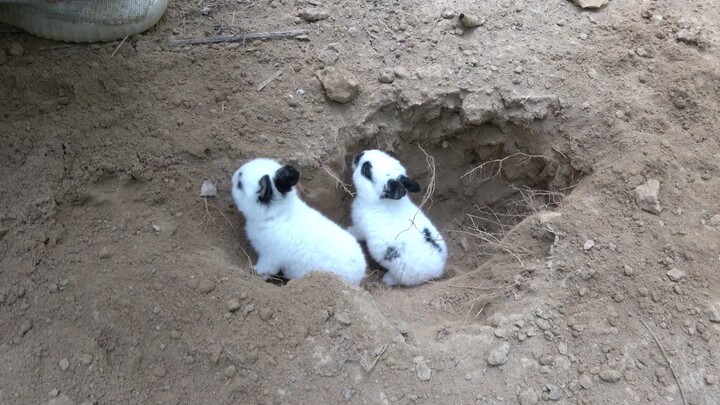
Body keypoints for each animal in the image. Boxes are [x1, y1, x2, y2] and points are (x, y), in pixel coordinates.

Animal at [231, 158, 367, 286]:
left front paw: (254, 272)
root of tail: (360, 273)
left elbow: (265, 269)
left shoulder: (269, 256)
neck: (277, 215)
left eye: (240, 184)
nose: (233, 176)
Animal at [348, 149, 447, 286]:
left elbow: (356, 232)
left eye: (366, 169)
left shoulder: (360, 227)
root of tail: (438, 270)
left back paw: (387, 279)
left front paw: (348, 230)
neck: (384, 202)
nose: (360, 154)